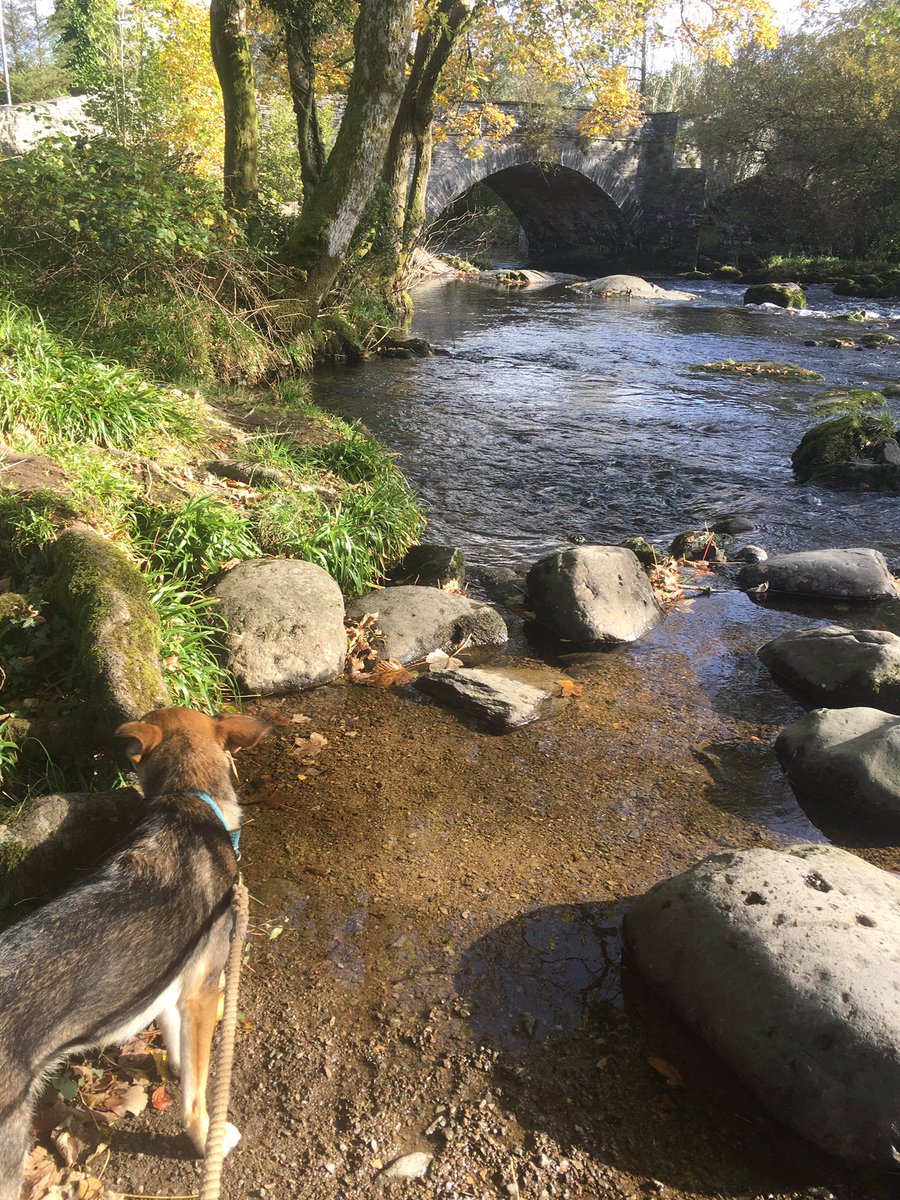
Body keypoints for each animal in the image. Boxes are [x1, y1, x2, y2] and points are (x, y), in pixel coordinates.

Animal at [0, 705, 271, 1195]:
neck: (191, 799)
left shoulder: (170, 989)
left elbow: (184, 1061)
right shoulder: (204, 991)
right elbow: (197, 1095)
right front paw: (208, 1138)